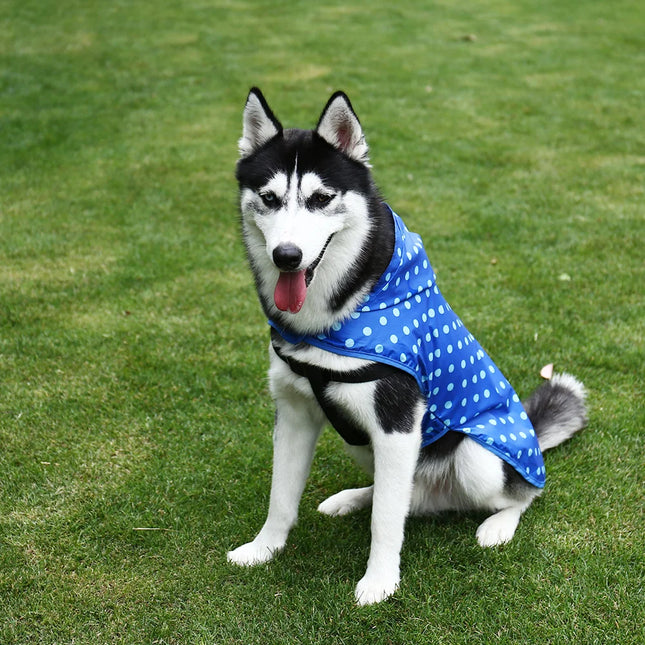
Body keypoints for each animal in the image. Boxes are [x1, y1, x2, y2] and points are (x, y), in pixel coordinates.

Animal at [228, 89, 588, 604]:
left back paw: (499, 524)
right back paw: (353, 497)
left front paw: (379, 582)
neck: (335, 316)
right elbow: (281, 497)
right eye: (269, 199)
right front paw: (264, 549)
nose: (287, 257)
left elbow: (385, 521)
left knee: (521, 495)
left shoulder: (398, 422)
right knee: (398, 495)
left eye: (321, 199)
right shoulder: (295, 411)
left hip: (475, 457)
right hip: (361, 441)